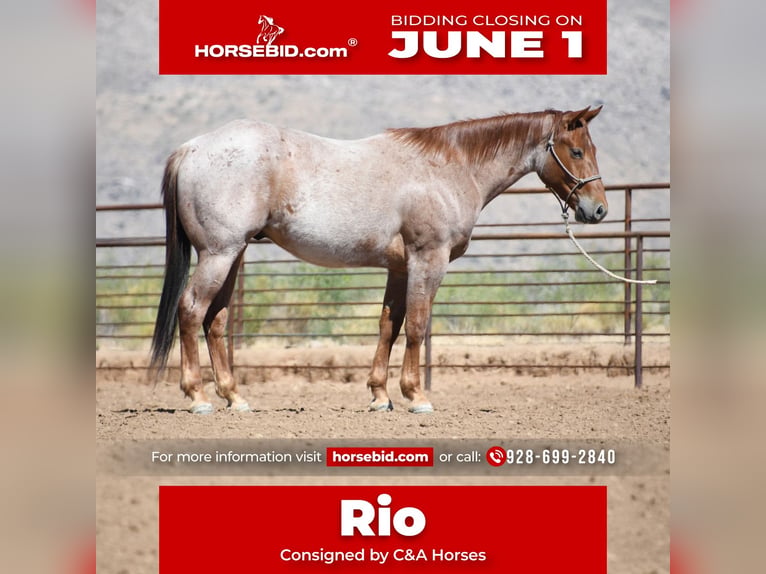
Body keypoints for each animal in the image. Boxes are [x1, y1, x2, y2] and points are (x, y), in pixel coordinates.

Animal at [150, 106, 607, 414]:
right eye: (576, 151)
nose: (598, 210)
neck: (447, 169)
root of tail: (192, 148)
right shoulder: (427, 260)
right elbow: (418, 326)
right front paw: (417, 396)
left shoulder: (399, 268)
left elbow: (390, 325)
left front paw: (380, 396)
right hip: (219, 254)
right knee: (191, 310)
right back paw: (197, 396)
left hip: (233, 254)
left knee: (216, 320)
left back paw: (235, 397)